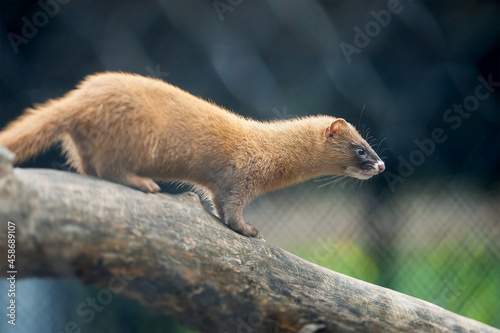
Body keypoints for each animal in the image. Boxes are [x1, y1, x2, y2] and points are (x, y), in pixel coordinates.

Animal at [0, 71, 386, 237]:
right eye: (360, 148)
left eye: (370, 144)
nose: (381, 165)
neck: (269, 147)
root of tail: (83, 95)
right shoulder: (243, 174)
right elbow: (233, 207)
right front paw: (249, 229)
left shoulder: (222, 184)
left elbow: (217, 200)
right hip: (135, 133)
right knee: (110, 167)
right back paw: (145, 183)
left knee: (89, 167)